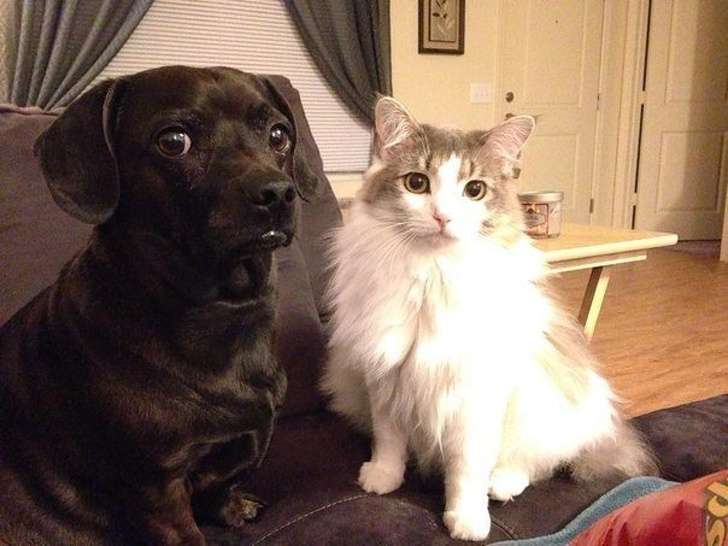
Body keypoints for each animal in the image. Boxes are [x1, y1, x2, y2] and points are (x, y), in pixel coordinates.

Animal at [0, 66, 318, 545]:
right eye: (173, 141)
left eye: (279, 134)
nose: (278, 193)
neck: (223, 311)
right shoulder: (157, 490)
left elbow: (225, 483)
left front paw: (232, 507)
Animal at [320, 97, 657, 541]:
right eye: (417, 183)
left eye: (474, 190)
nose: (443, 217)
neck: (432, 274)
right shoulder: (387, 378)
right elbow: (389, 439)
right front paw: (382, 478)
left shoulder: (474, 397)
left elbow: (466, 469)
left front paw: (466, 520)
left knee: (538, 463)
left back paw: (502, 484)